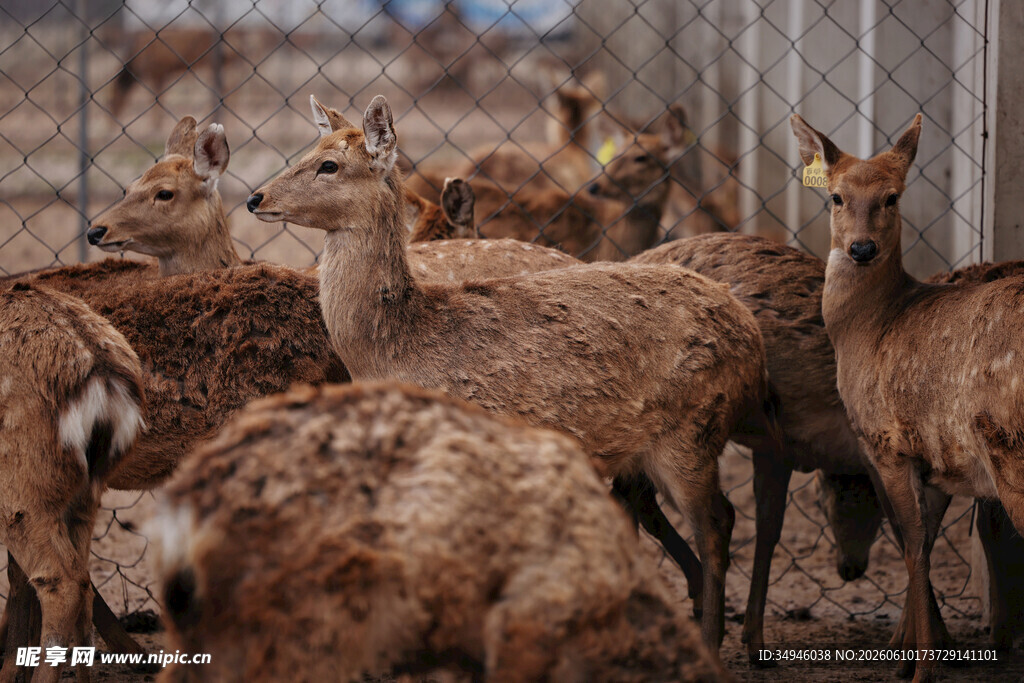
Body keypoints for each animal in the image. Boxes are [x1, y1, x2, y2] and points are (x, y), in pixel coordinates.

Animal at [246, 93, 781, 651]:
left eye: (330, 164)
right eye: (309, 149)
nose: (255, 197)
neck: (397, 348)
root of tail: (752, 340)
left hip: (693, 431)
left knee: (720, 522)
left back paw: (715, 641)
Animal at [790, 111, 1024, 682]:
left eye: (892, 196)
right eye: (835, 196)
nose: (861, 249)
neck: (870, 327)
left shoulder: (886, 441)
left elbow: (913, 546)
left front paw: (920, 669)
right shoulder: (934, 459)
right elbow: (923, 541)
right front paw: (912, 653)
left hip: (1010, 447)